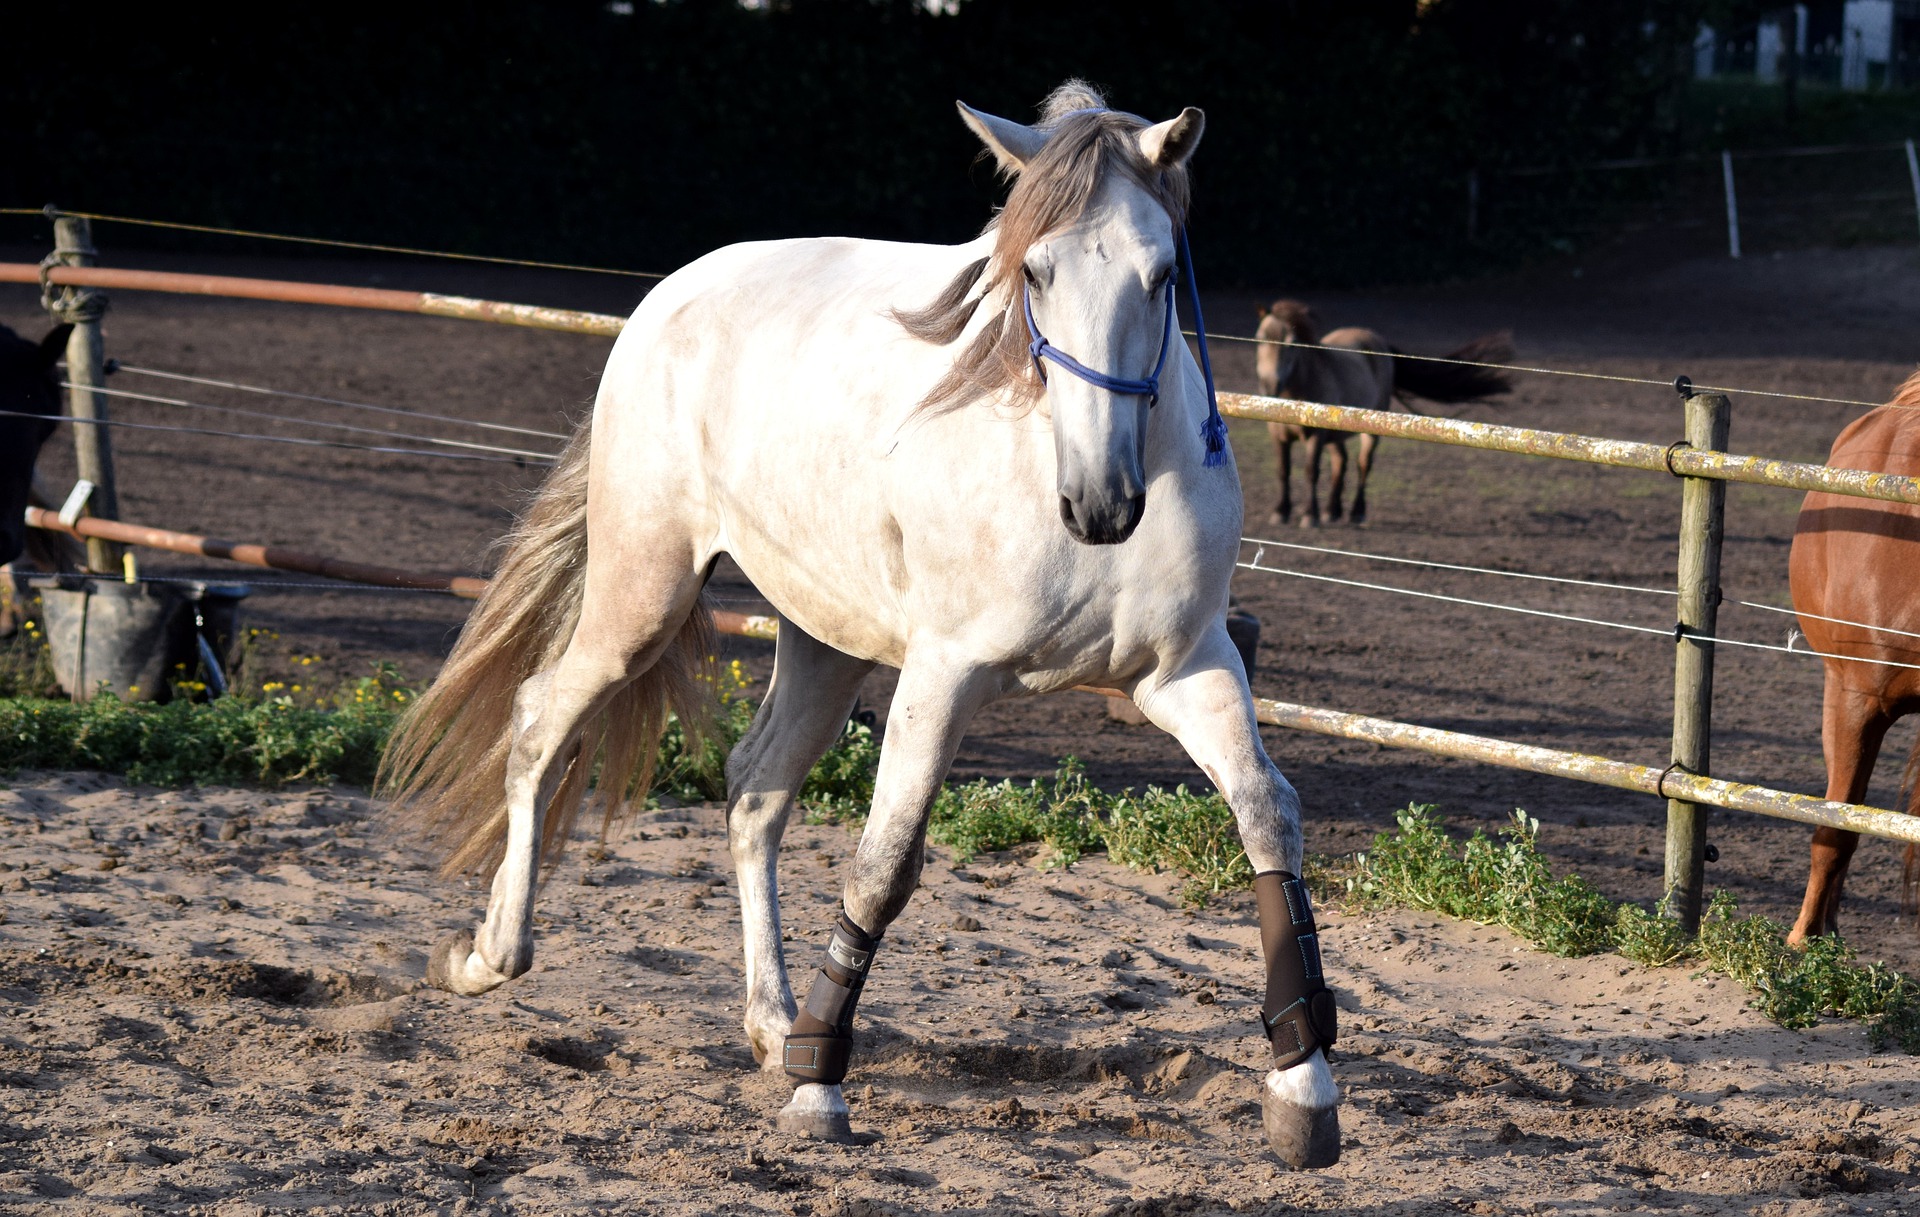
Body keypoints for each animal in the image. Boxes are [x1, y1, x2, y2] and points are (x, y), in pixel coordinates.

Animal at [382, 83, 1344, 1167]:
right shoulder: (944, 674)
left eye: (1161, 272)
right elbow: (884, 865)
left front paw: (1305, 1089)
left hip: (824, 639)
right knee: (542, 719)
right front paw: (820, 1088)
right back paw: (488, 956)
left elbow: (1268, 814)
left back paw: (773, 1021)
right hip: (644, 592)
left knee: (754, 788)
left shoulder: (1187, 668)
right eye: (1036, 271)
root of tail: (670, 295)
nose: (1101, 505)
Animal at [1259, 301, 1512, 522]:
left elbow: (1311, 471)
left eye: (1291, 344)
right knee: (1341, 462)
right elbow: (1282, 470)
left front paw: (1309, 516)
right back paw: (1332, 510)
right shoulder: (1276, 435)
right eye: (1260, 339)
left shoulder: (1316, 436)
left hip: (1368, 430)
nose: (1270, 385)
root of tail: (1376, 339)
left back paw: (1355, 512)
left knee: (1362, 464)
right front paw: (1281, 512)